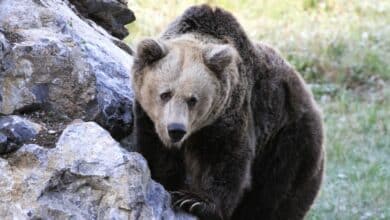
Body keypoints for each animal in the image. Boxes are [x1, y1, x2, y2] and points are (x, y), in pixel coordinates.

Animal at [133, 4, 324, 220]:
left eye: (193, 99)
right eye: (165, 94)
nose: (176, 129)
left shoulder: (231, 113)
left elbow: (226, 160)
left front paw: (194, 201)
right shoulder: (150, 120)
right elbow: (156, 153)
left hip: (289, 143)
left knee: (275, 195)